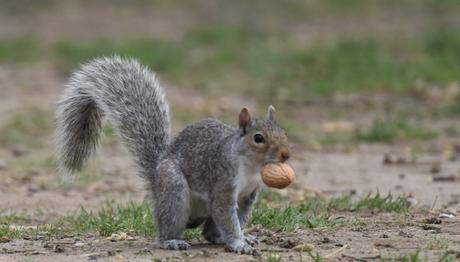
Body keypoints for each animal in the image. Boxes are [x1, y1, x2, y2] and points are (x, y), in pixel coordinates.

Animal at [54, 55, 292, 254]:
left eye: (283, 132)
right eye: (258, 138)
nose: (285, 154)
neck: (250, 166)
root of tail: (156, 180)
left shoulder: (248, 195)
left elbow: (238, 218)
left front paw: (243, 238)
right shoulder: (223, 183)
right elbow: (226, 216)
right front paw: (238, 243)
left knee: (209, 233)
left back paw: (219, 238)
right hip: (174, 191)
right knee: (168, 226)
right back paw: (172, 241)